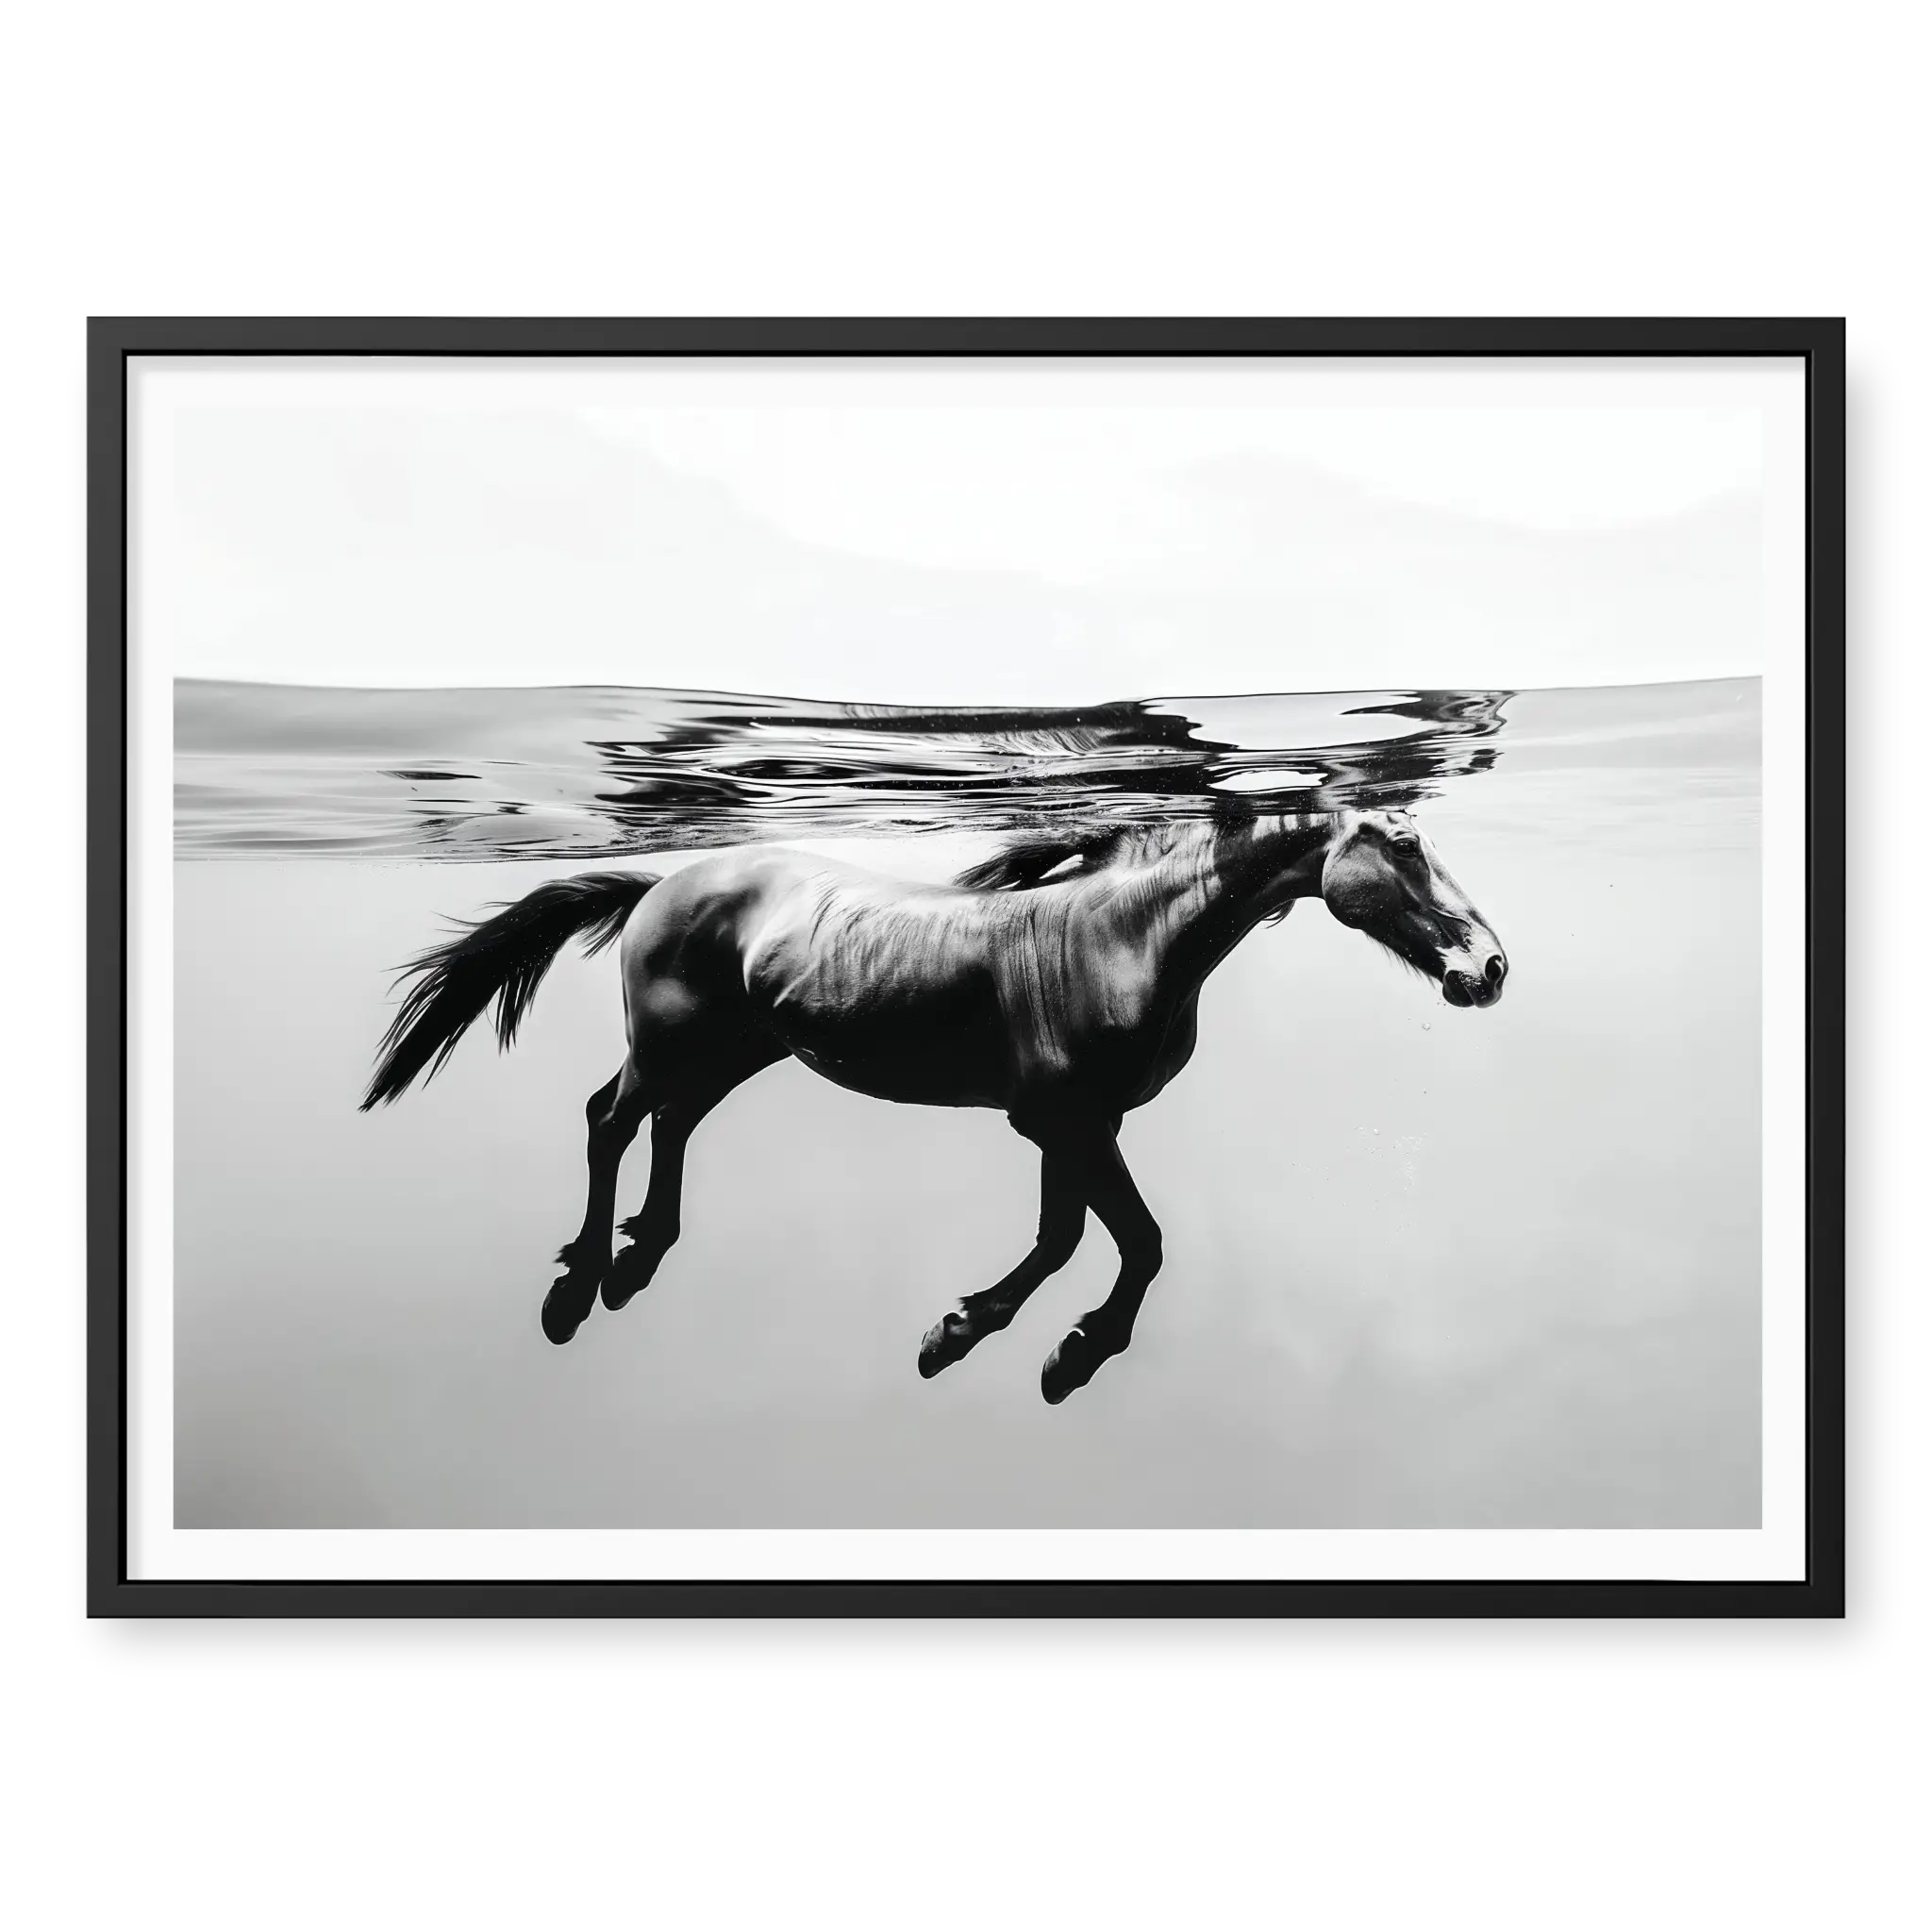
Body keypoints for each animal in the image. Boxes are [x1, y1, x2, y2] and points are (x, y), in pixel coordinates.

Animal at [360, 807, 1507, 1403]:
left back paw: (636, 1263)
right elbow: (1130, 1241)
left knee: (668, 1127)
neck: (1124, 937)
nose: (1487, 968)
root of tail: (661, 885)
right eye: (1403, 844)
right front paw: (1050, 1350)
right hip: (673, 1045)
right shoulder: (1065, 1122)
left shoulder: (1075, 1126)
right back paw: (577, 1286)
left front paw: (980, 1338)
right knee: (610, 1117)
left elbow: (1065, 1237)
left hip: (738, 1052)